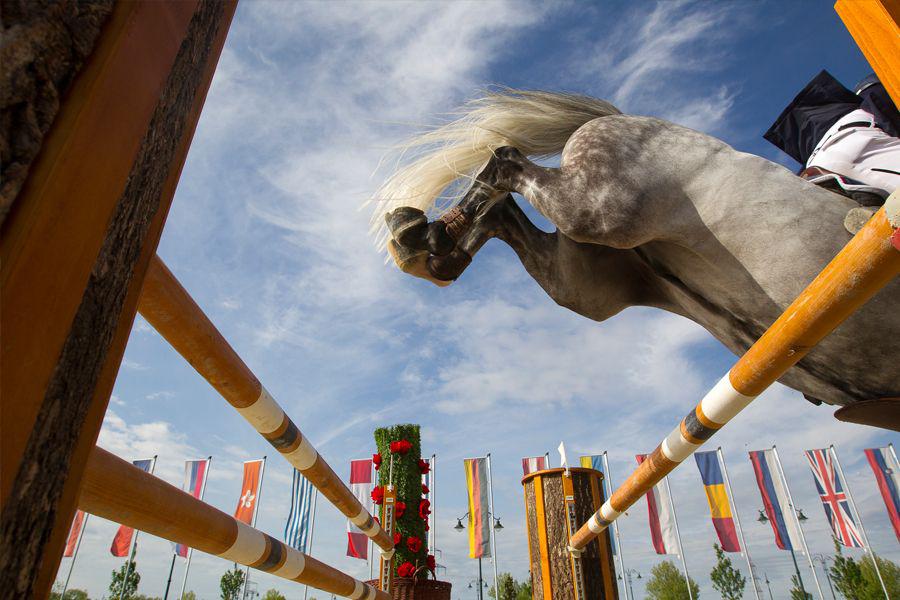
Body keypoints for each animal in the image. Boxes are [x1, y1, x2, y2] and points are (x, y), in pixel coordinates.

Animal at [370, 90, 896, 418]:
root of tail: (619, 117)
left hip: (586, 281)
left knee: (505, 204)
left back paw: (432, 248)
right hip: (600, 208)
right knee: (506, 161)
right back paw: (424, 242)